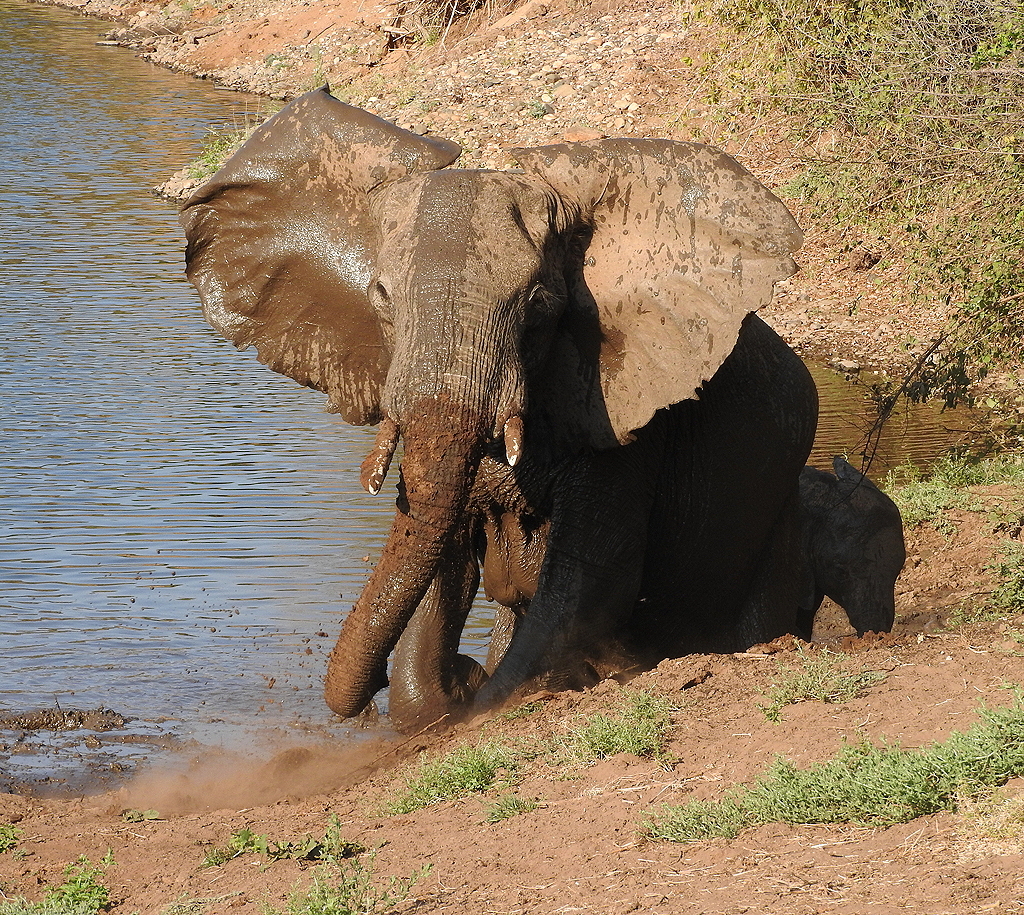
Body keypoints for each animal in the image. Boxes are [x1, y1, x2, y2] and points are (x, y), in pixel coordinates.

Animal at [180, 86, 818, 733]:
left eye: (537, 307)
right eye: (383, 297)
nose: (364, 696)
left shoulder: (629, 418)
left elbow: (587, 585)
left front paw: (481, 693)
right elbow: (447, 551)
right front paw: (455, 686)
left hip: (781, 508)